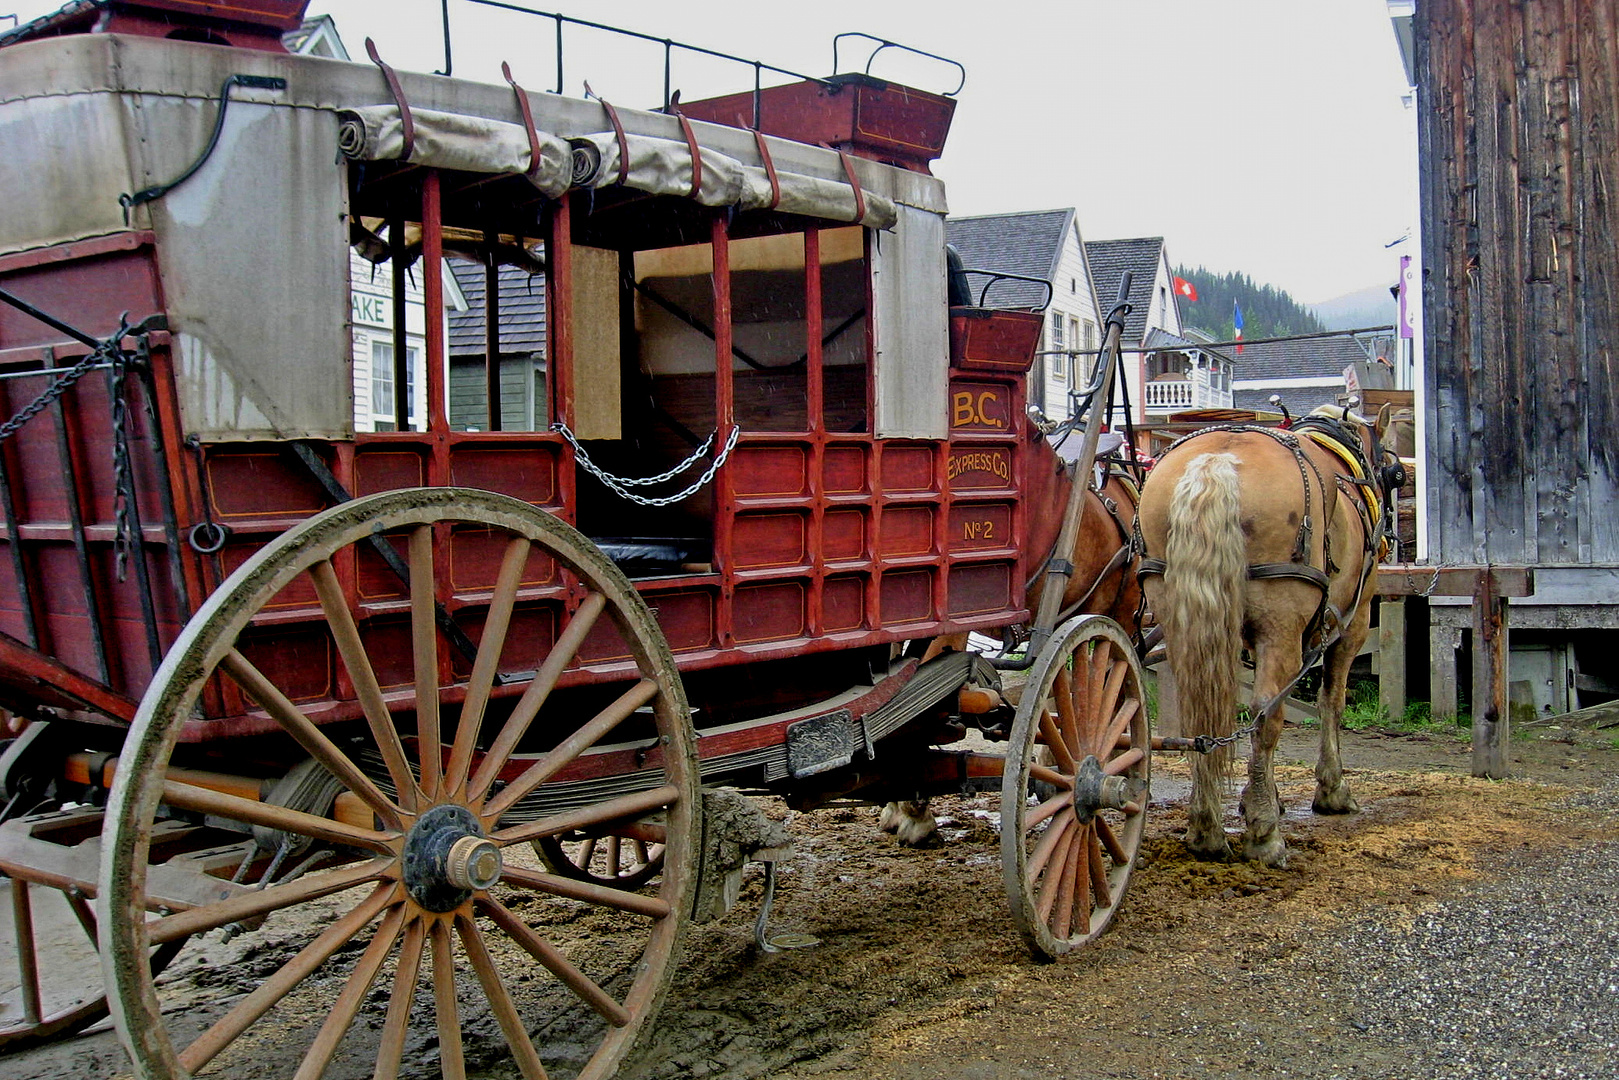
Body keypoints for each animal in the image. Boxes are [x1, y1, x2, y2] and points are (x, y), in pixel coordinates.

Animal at [1139, 404, 1392, 867]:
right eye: (1394, 473)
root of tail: (1217, 460)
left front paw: (1262, 797)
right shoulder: (1353, 623)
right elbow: (1332, 701)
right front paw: (1330, 790)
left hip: (1178, 612)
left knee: (1198, 709)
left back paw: (1206, 827)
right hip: (1283, 625)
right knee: (1266, 713)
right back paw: (1264, 834)